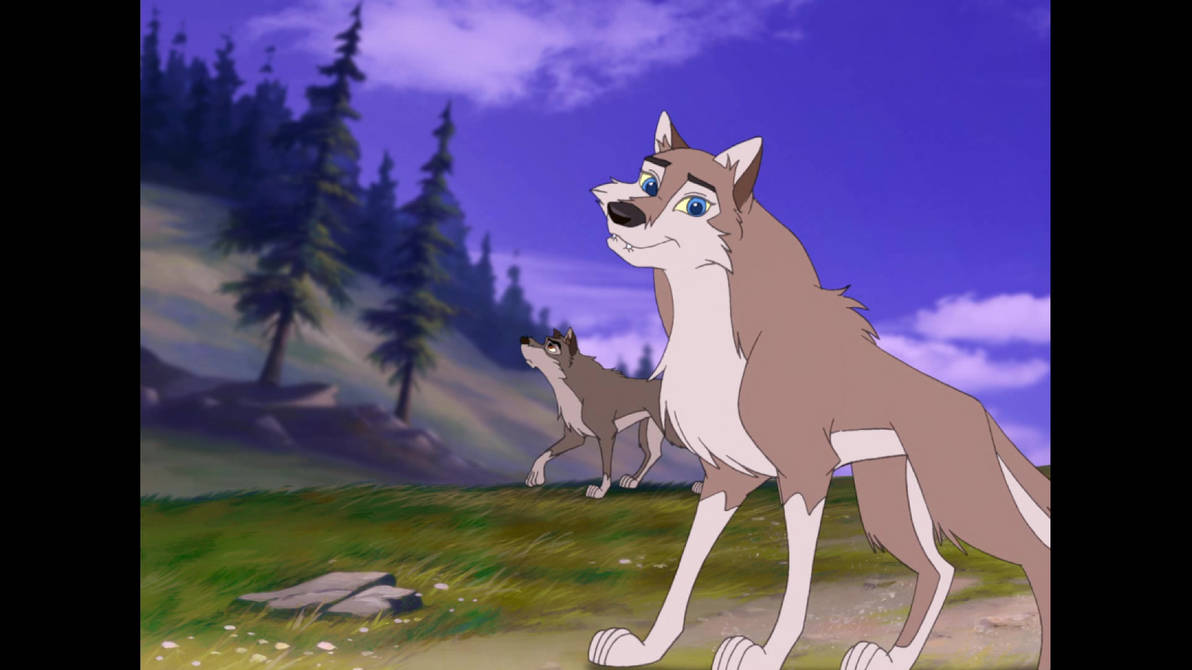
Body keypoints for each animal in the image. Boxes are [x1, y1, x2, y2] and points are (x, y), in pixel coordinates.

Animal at [521, 328, 703, 499]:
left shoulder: (607, 435)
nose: (523, 338)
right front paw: (535, 476)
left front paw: (600, 492)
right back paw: (633, 480)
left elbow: (606, 469)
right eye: (544, 340)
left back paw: (701, 486)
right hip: (650, 429)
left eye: (551, 346)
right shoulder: (575, 436)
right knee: (654, 454)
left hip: (674, 433)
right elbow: (545, 453)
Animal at [584, 112, 1050, 670]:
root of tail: (976, 406)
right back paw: (890, 658)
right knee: (939, 570)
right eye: (649, 182)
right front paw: (647, 647)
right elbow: (686, 567)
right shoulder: (727, 477)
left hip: (962, 498)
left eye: (695, 205)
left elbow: (797, 583)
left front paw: (765, 654)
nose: (622, 211)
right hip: (888, 501)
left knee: (1033, 555)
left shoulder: (805, 472)